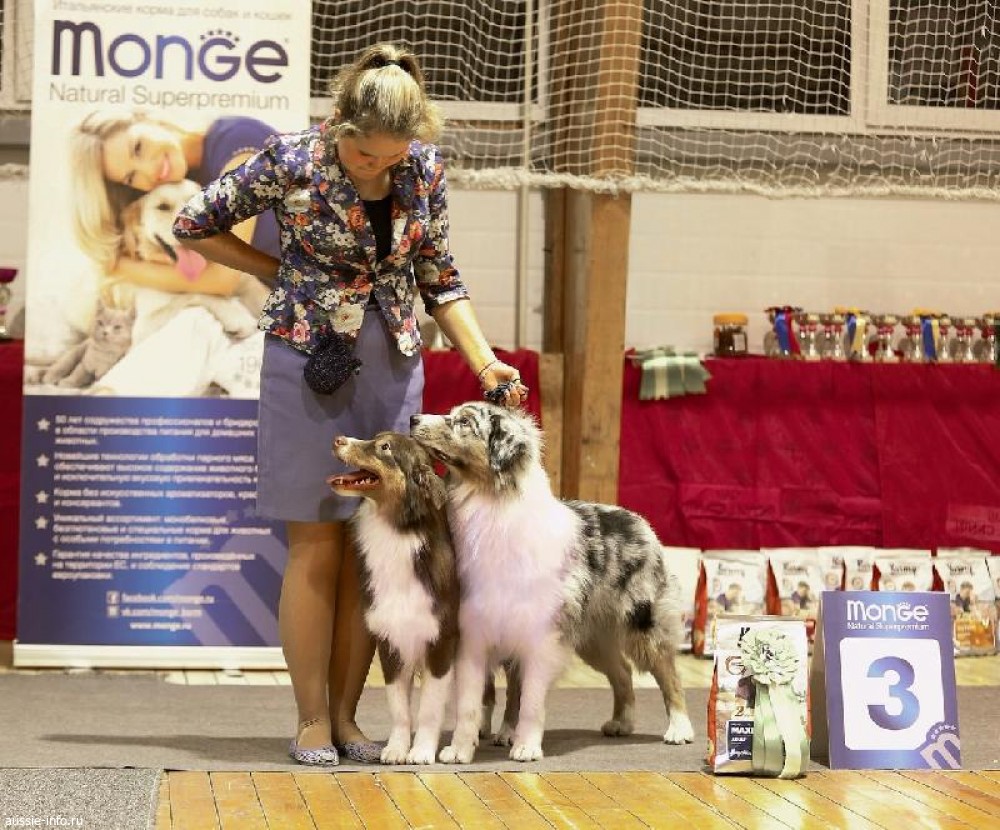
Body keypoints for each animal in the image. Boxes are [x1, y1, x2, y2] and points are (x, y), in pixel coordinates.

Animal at [329, 431, 460, 764]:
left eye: (385, 447)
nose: (338, 439)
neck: (396, 531)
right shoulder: (391, 641)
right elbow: (399, 707)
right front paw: (397, 749)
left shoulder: (440, 643)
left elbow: (428, 708)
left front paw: (422, 751)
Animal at [410, 402, 694, 763]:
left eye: (464, 422)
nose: (413, 419)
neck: (492, 504)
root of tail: (639, 520)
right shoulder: (474, 634)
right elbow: (469, 705)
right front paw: (459, 750)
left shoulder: (540, 637)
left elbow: (531, 700)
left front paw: (526, 746)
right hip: (592, 637)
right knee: (622, 672)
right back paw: (622, 722)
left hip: (642, 622)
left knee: (668, 671)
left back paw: (680, 728)